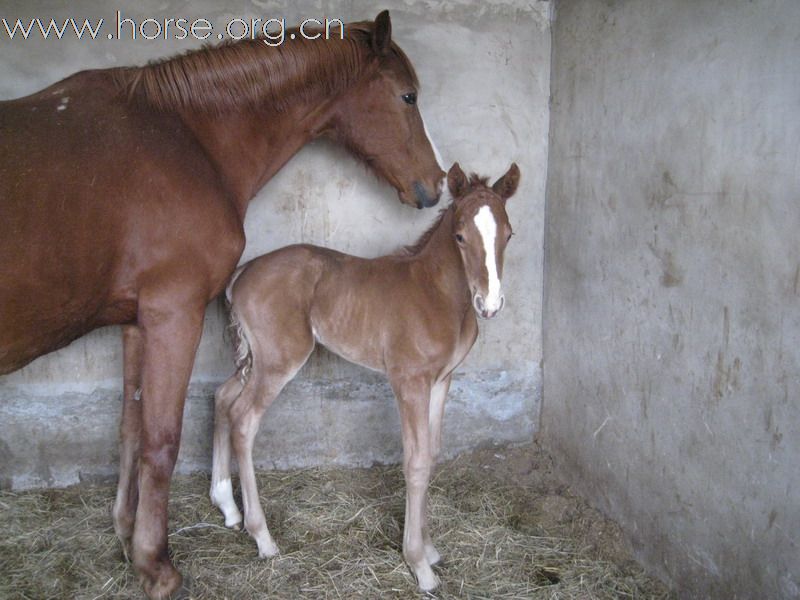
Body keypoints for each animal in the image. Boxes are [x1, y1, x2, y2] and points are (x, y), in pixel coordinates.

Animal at [0, 10, 444, 600]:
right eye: (407, 96)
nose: (435, 185)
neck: (187, 138)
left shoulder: (134, 321)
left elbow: (130, 428)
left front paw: (126, 534)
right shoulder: (173, 312)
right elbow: (162, 440)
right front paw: (156, 565)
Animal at [211, 163, 520, 592]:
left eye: (508, 234)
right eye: (459, 236)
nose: (489, 305)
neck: (438, 293)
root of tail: (240, 273)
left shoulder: (442, 380)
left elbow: (432, 454)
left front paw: (430, 549)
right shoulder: (409, 381)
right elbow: (415, 462)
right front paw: (419, 564)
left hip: (253, 359)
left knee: (222, 398)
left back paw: (226, 505)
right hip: (278, 360)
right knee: (243, 419)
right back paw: (263, 537)